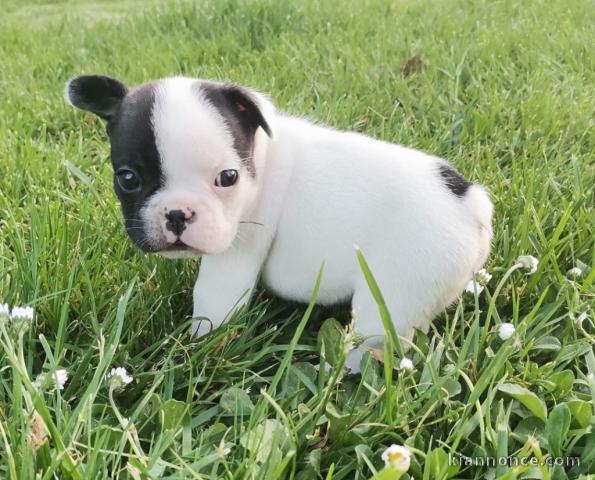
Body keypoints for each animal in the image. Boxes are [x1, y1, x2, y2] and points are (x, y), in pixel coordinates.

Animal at [65, 75, 494, 370]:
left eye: (228, 178)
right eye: (128, 179)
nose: (177, 213)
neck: (261, 160)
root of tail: (467, 200)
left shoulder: (236, 252)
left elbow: (214, 300)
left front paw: (198, 346)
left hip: (398, 285)